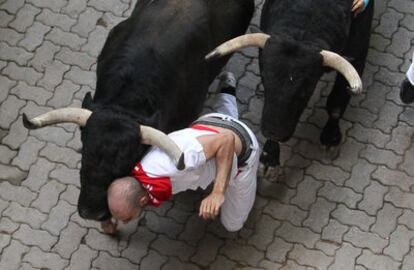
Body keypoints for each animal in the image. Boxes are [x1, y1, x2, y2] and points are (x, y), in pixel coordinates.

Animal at [207, 0, 376, 175]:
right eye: (264, 78)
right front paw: (269, 158)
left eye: (307, 88)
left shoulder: (359, 52)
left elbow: (337, 103)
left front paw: (330, 138)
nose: (273, 132)